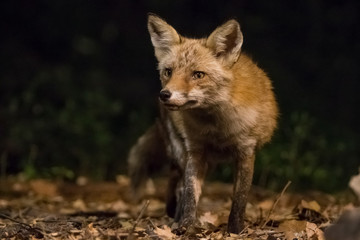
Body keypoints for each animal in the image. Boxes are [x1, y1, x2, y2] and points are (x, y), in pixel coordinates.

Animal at [128, 14, 280, 233]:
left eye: (198, 74)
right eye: (168, 72)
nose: (164, 95)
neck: (217, 126)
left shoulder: (246, 151)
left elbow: (239, 198)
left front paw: (235, 230)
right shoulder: (195, 150)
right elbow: (191, 193)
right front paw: (186, 225)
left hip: (210, 163)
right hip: (180, 151)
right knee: (177, 182)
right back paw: (174, 215)